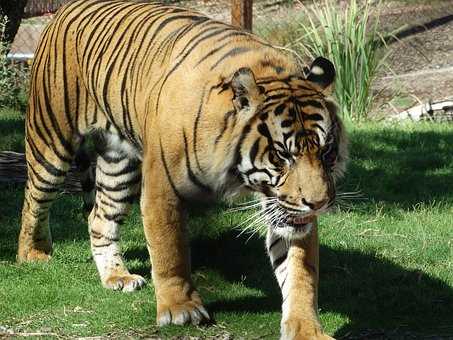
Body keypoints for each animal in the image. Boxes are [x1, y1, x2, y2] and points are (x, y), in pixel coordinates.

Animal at [17, 1, 346, 338]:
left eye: (327, 152)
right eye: (282, 155)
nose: (319, 204)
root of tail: (64, 9)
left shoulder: (285, 206)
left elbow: (300, 271)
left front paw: (306, 328)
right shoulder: (162, 188)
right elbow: (169, 250)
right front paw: (180, 309)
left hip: (118, 165)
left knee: (99, 216)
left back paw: (116, 277)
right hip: (50, 140)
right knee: (33, 199)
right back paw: (33, 254)